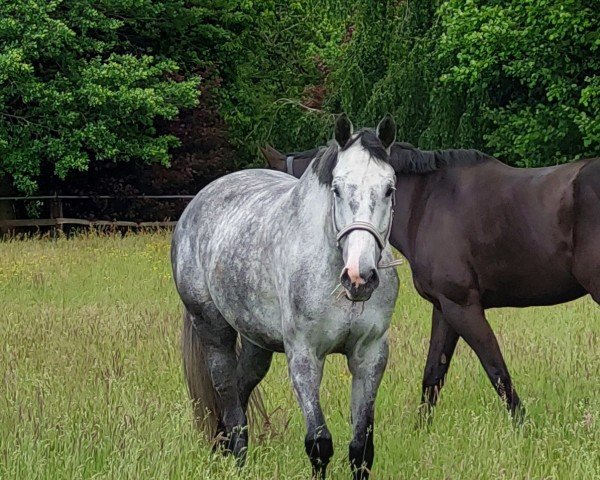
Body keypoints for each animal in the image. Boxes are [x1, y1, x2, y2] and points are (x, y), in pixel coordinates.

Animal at [171, 114, 400, 478]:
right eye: (337, 189)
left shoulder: (370, 356)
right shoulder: (304, 356)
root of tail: (196, 205)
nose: (359, 277)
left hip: (256, 343)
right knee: (227, 394)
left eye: (389, 188)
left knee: (240, 389)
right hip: (213, 330)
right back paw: (236, 461)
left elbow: (361, 448)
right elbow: (319, 444)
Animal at [264, 141, 600, 418]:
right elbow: (433, 374)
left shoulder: (462, 306)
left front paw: (523, 426)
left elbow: (496, 369)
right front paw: (421, 428)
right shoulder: (444, 308)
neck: (426, 203)